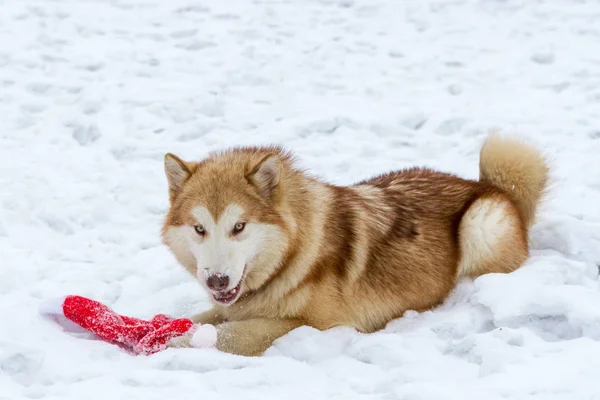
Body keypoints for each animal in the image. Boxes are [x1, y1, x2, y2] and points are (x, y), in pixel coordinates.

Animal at [159, 133, 548, 354]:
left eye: (238, 227)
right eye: (199, 228)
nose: (217, 281)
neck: (292, 257)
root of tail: (487, 185)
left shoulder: (315, 325)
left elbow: (223, 336)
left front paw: (166, 345)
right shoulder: (231, 307)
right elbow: (193, 319)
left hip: (479, 223)